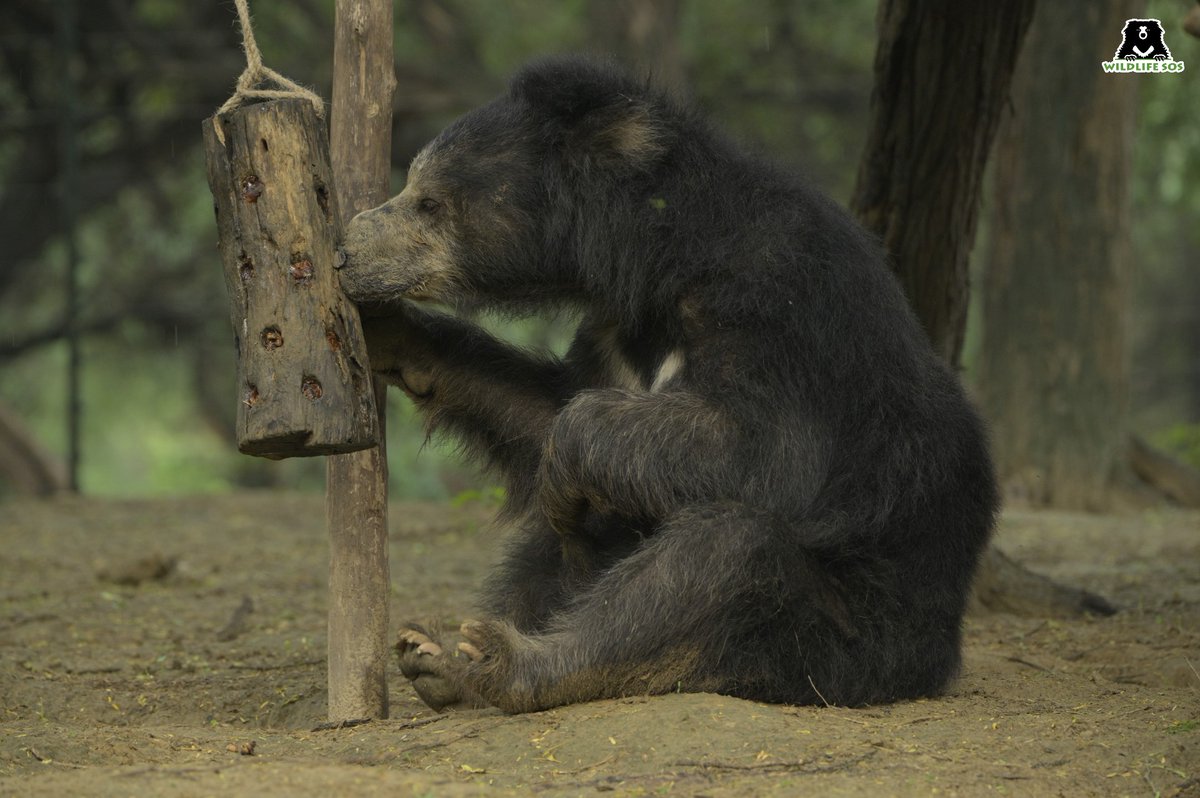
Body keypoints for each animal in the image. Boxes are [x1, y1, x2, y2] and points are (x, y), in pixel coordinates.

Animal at [337, 56, 998, 714]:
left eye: (428, 202)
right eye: (413, 189)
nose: (346, 250)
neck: (654, 263)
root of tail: (938, 650)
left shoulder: (779, 308)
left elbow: (768, 452)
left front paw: (566, 461)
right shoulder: (614, 331)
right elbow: (542, 410)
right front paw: (387, 332)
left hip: (846, 637)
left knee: (720, 556)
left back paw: (498, 660)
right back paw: (436, 655)